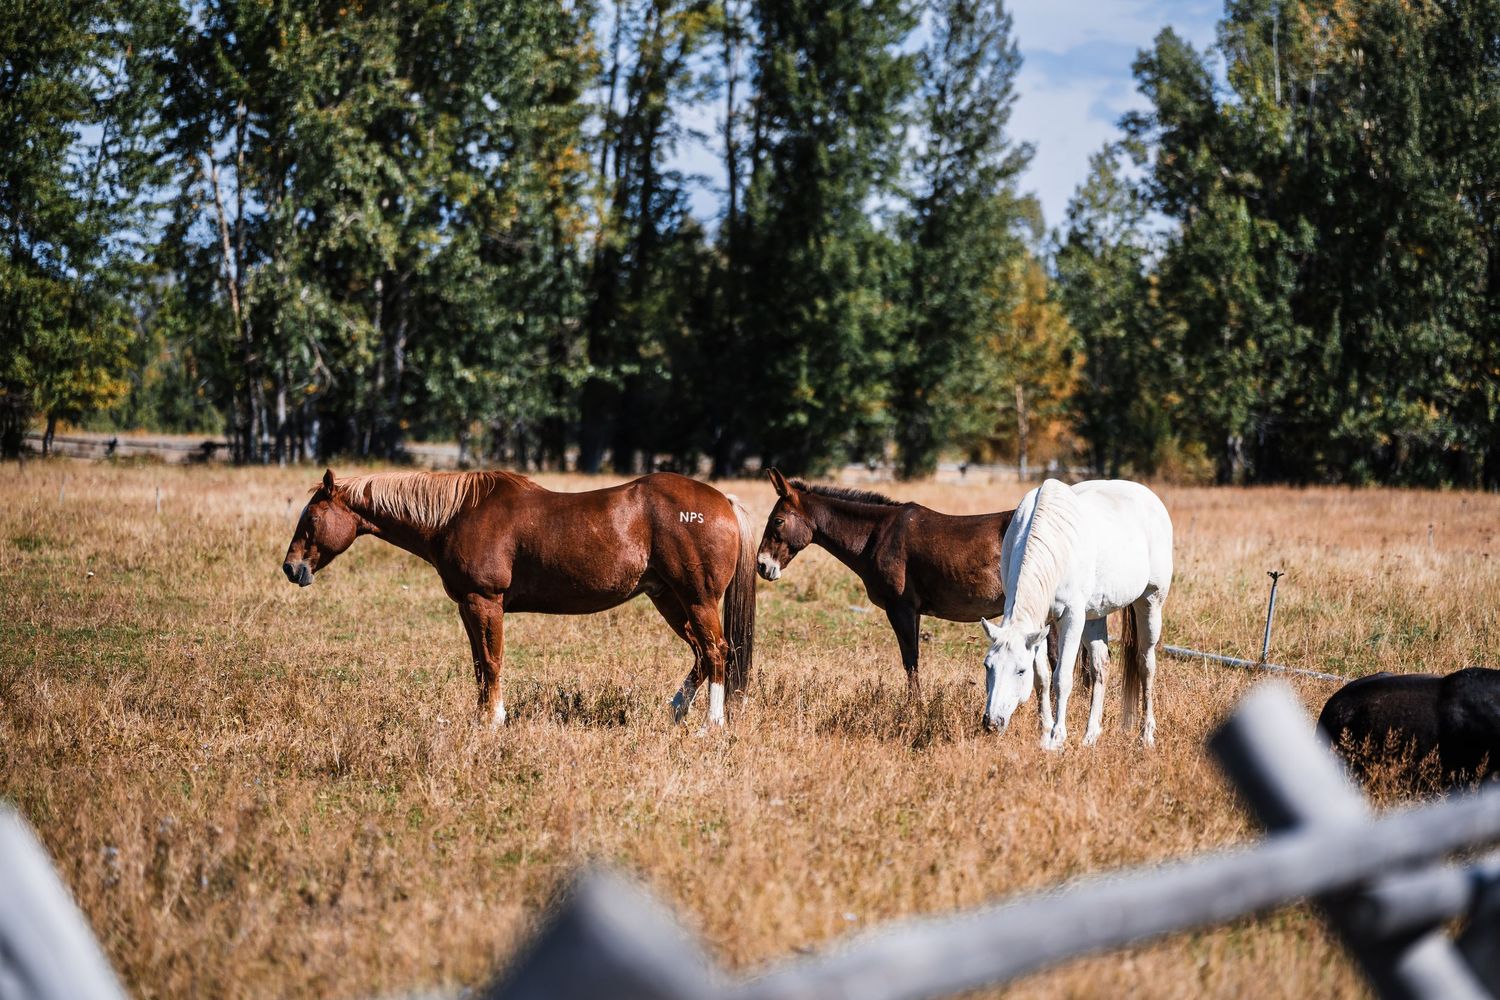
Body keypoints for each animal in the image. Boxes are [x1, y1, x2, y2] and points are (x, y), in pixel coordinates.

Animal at [280, 469, 757, 728]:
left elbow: (492, 662)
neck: (455, 515)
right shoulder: (468, 605)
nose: (291, 568)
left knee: (717, 651)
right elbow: (479, 664)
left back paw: (711, 725)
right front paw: (482, 718)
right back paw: (677, 710)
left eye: (312, 519)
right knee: (702, 653)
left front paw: (494, 720)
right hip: (670, 599)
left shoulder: (484, 601)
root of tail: (725, 502)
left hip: (697, 598)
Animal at [755, 468, 1021, 698]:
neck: (877, 535)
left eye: (778, 521)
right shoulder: (912, 611)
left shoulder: (900, 608)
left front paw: (915, 706)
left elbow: (910, 660)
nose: (762, 565)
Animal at [978, 478, 1173, 749]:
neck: (1054, 543)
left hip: (1150, 603)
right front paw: (1044, 732)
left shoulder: (1072, 618)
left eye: (1020, 670)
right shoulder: (1041, 625)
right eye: (988, 666)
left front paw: (1057, 737)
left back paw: (1146, 736)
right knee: (1101, 666)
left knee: (1146, 664)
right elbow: (1043, 678)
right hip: (1094, 617)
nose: (992, 722)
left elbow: (1061, 678)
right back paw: (1090, 736)